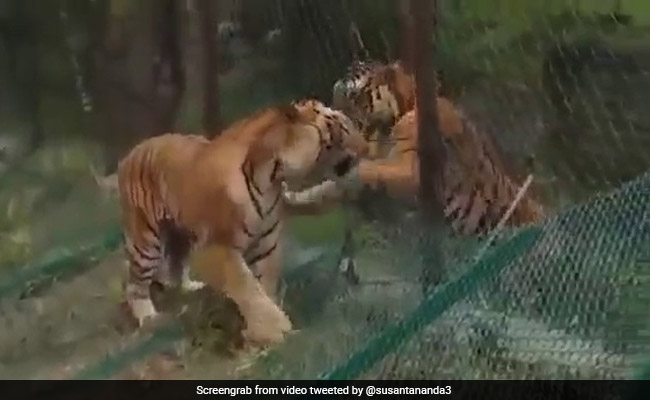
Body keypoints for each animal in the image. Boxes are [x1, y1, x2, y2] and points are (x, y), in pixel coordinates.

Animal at [110, 98, 368, 347]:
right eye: (341, 129)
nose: (366, 147)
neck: (273, 176)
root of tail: (129, 155)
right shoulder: (215, 248)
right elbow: (245, 286)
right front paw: (275, 331)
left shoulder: (266, 244)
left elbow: (264, 287)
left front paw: (261, 333)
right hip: (146, 241)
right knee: (134, 283)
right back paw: (149, 318)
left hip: (180, 236)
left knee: (175, 267)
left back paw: (192, 287)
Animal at [284, 60, 546, 279]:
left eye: (353, 94)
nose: (336, 115)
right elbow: (327, 189)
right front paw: (289, 198)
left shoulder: (412, 172)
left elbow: (369, 169)